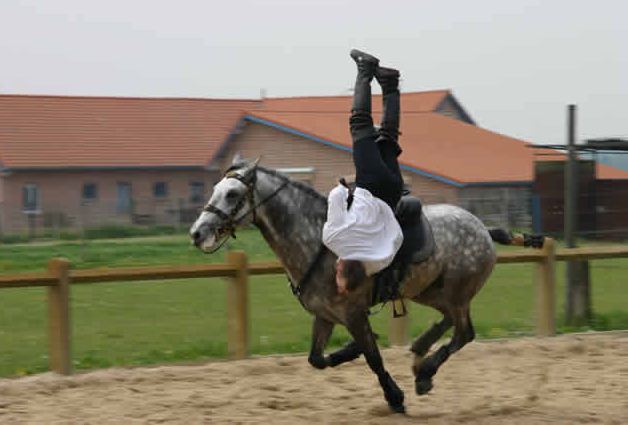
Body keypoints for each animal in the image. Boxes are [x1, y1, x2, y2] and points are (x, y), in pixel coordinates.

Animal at [189, 157, 544, 412]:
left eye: (232, 194)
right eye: (215, 190)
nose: (197, 232)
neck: (318, 239)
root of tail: (483, 229)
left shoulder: (353, 313)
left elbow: (373, 359)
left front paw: (394, 397)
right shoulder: (325, 315)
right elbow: (318, 359)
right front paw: (353, 350)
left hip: (455, 294)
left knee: (464, 333)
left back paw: (425, 370)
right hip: (430, 292)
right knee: (449, 323)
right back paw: (420, 354)